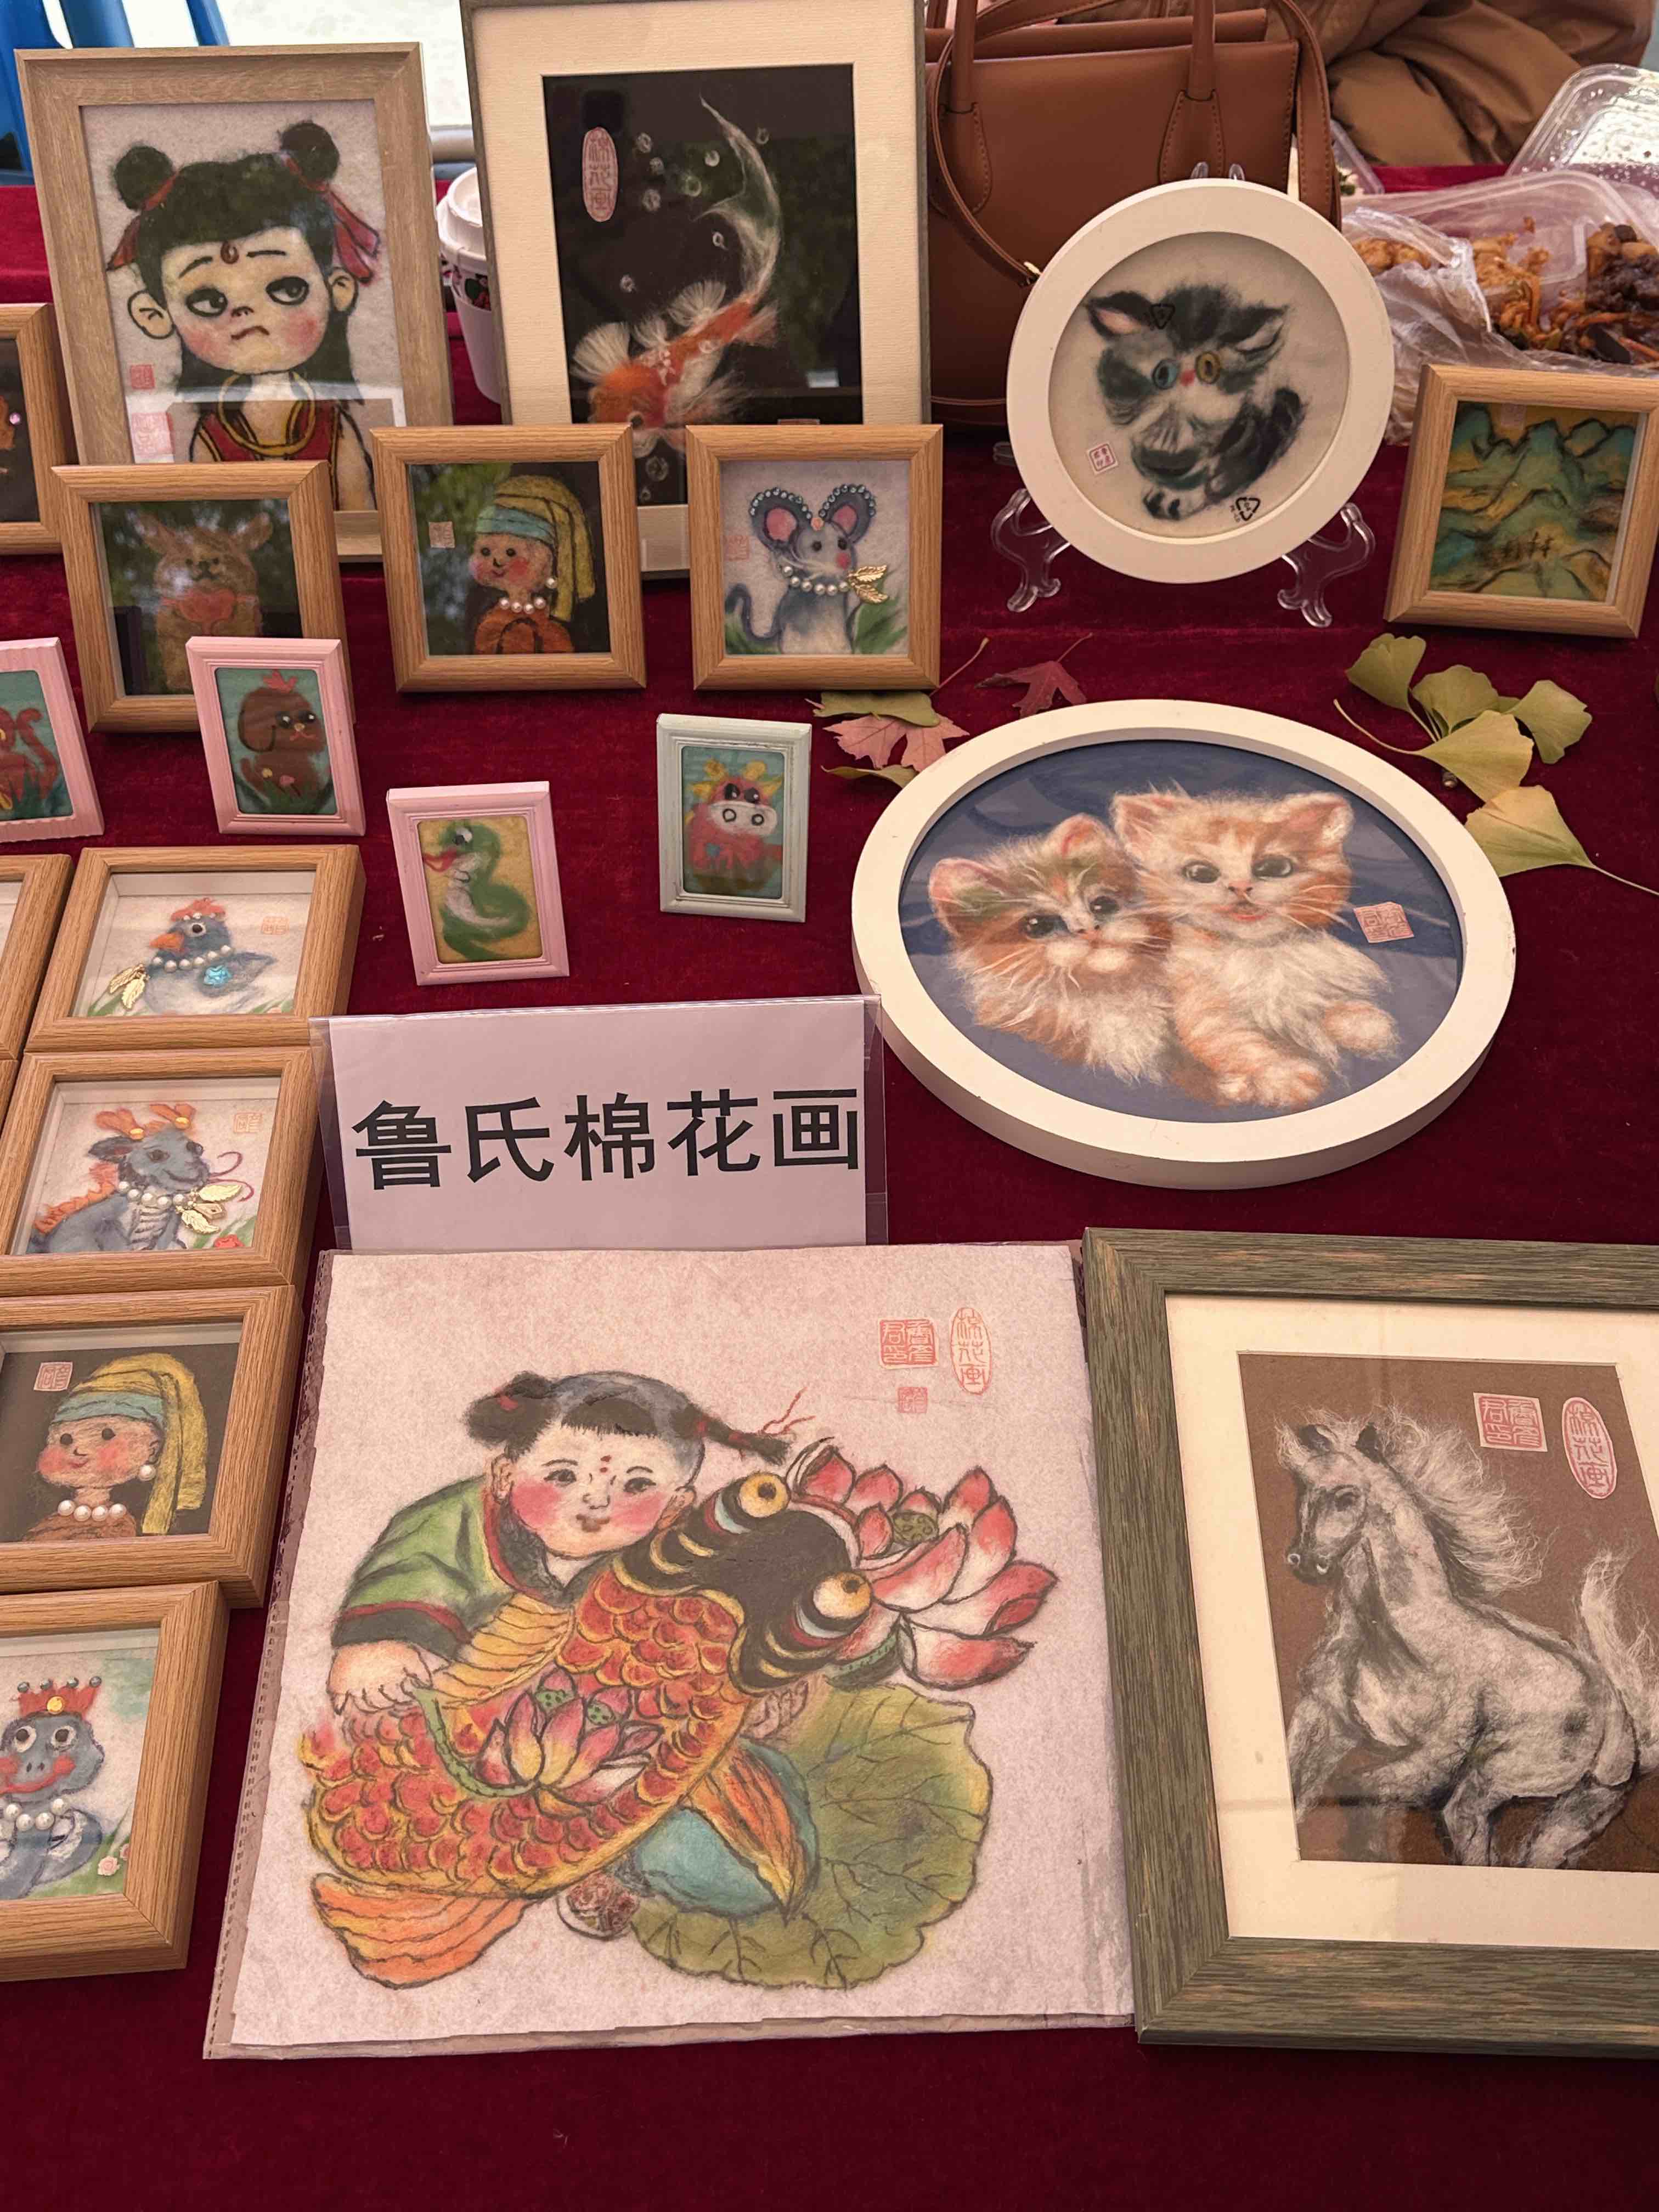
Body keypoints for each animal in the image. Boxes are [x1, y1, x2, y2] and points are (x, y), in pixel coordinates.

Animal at [1111, 789, 1398, 1111]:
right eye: (1200, 873)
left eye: (1275, 868)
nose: (1240, 887)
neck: (1256, 951)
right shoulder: (1198, 1007)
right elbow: (1239, 1044)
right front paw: (1284, 1076)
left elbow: (1318, 1005)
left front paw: (1360, 1022)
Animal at [1279, 1410, 1659, 1869]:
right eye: (1304, 1487)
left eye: (1347, 1497)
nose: (1302, 1561)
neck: (1409, 1639)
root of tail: (1622, 1722)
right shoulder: (1324, 1719)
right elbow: (1299, 1787)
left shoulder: (1433, 1760)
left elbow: (1362, 1797)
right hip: (1579, 1812)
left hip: (1500, 1779)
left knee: (1467, 1826)